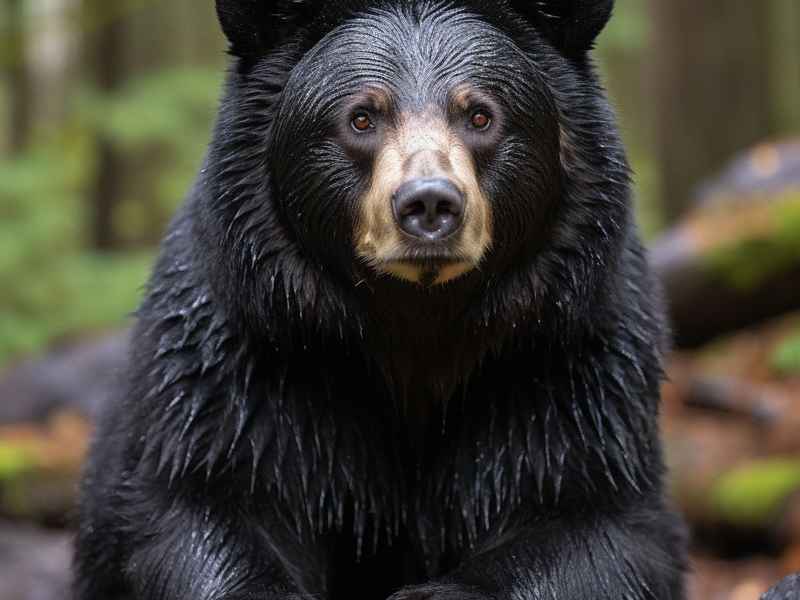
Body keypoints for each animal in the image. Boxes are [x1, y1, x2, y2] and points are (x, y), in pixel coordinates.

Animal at [74, 1, 688, 599]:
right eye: (361, 118)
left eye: (480, 116)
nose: (430, 204)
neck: (414, 325)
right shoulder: (238, 369)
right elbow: (209, 509)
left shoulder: (568, 368)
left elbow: (591, 522)